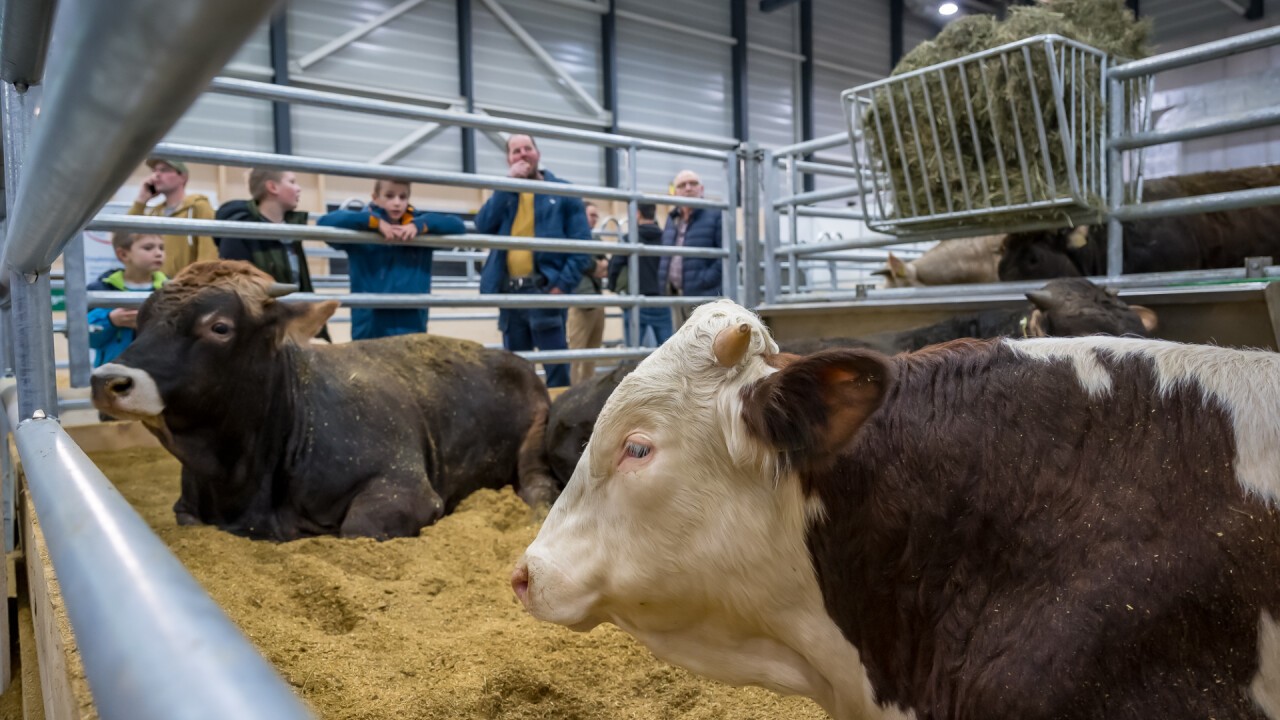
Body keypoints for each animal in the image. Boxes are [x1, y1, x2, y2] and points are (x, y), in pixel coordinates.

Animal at [90, 260, 550, 535]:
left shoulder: (406, 487)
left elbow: (359, 528)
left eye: (219, 327)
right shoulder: (187, 505)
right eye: (140, 321)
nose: (108, 380)